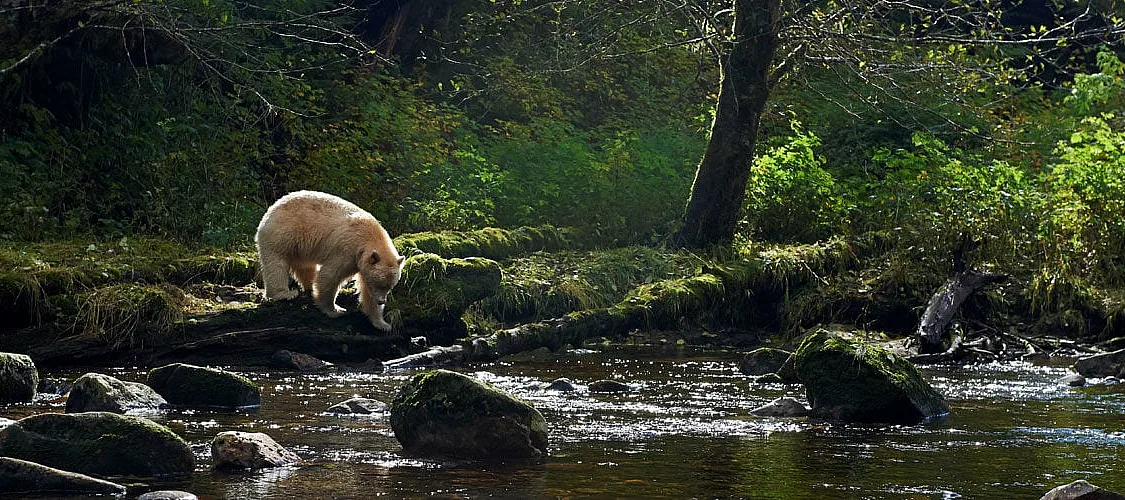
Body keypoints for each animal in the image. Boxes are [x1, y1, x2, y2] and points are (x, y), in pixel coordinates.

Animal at [255, 190, 405, 331]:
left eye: (390, 287)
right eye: (379, 284)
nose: (381, 301)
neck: (370, 236)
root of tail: (271, 208)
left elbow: (366, 291)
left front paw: (383, 324)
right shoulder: (347, 250)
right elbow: (330, 276)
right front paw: (335, 310)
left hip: (300, 245)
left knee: (304, 265)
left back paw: (308, 285)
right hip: (283, 232)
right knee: (276, 263)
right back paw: (285, 294)